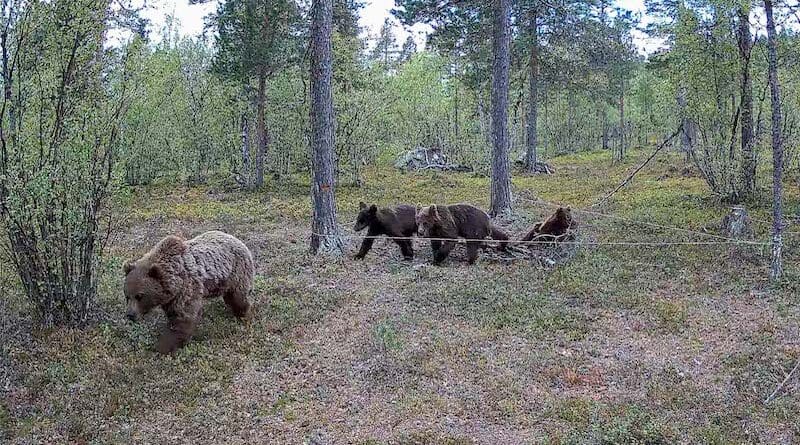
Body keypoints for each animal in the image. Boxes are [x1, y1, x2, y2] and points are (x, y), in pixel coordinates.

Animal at [123, 230, 255, 354]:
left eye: (139, 296)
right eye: (127, 296)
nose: (130, 315)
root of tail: (237, 239)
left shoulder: (186, 288)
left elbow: (183, 318)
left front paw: (164, 345)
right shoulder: (171, 297)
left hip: (235, 272)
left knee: (237, 296)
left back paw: (243, 315)